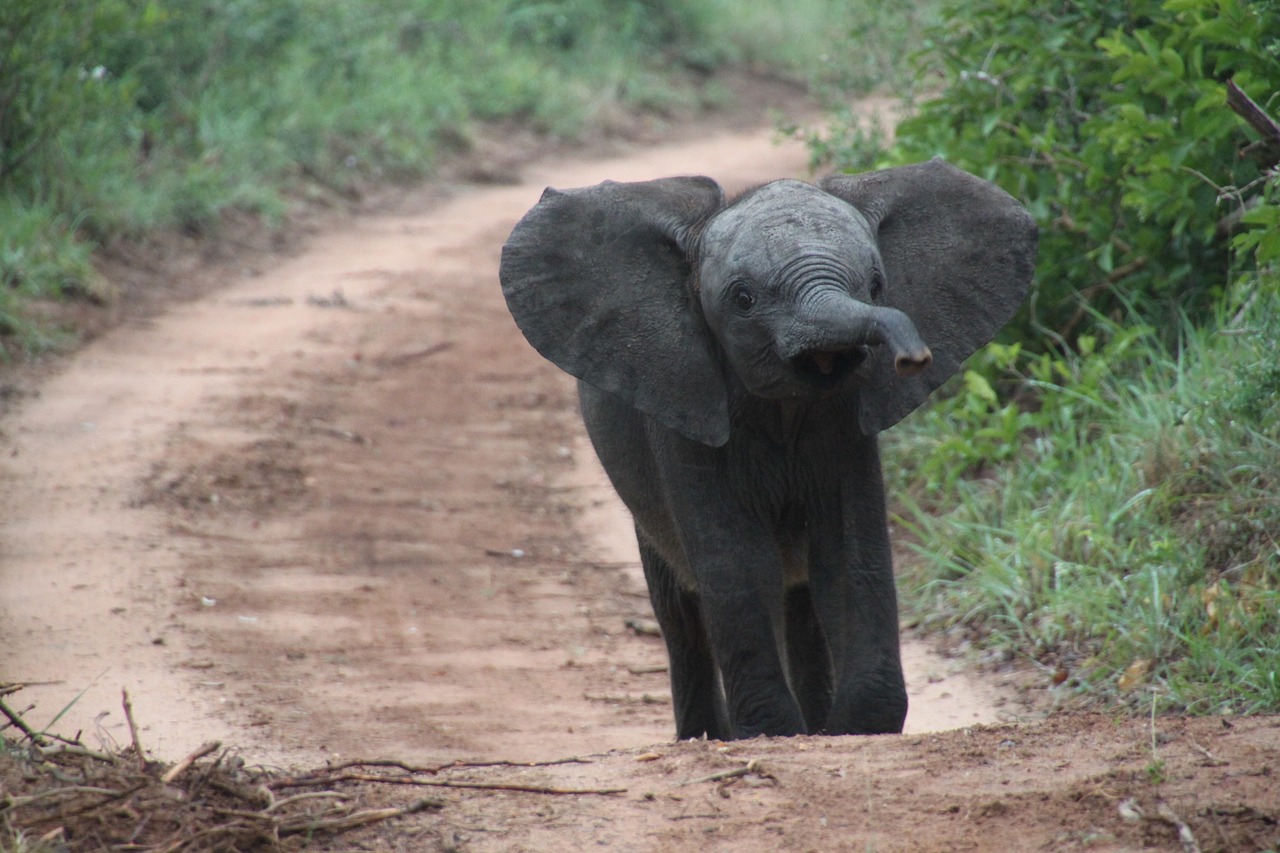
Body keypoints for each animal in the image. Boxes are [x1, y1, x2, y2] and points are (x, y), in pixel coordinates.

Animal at [494, 159, 1034, 737]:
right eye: (743, 299)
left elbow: (846, 554)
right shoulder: (684, 407)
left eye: (876, 284)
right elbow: (740, 563)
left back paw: (813, 725)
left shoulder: (846, 423)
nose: (913, 358)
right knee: (680, 610)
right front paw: (772, 730)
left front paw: (856, 726)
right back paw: (707, 736)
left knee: (799, 599)